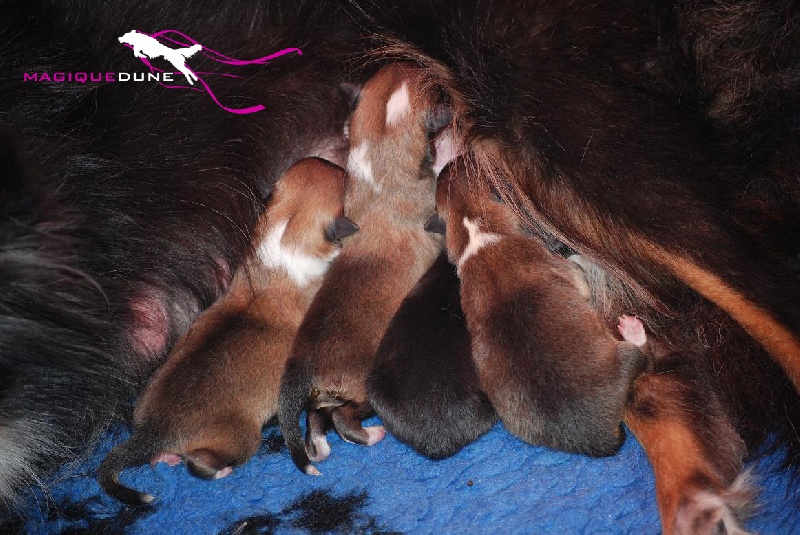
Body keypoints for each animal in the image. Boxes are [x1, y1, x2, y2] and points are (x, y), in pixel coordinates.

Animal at [95, 158, 354, 506]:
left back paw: (164, 457)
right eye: (343, 180)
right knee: (200, 463)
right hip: (241, 438)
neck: (285, 231)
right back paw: (218, 470)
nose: (333, 161)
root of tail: (155, 431)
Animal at [278, 60, 446, 476]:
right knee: (342, 420)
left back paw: (319, 448)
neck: (378, 164)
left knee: (317, 419)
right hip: (358, 390)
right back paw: (371, 435)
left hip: (326, 396)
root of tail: (300, 366)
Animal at [432, 157, 648, 458]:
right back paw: (632, 330)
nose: (456, 157)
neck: (475, 228)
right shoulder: (569, 274)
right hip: (626, 356)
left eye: (456, 166)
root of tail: (597, 440)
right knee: (640, 353)